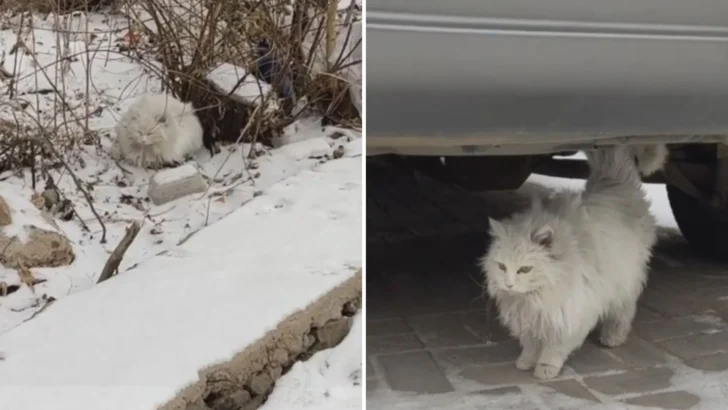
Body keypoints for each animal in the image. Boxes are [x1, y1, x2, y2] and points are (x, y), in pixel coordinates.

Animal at [480, 145, 668, 382]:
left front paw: (545, 368)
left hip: (624, 283)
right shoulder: (532, 318)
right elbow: (531, 344)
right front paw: (526, 361)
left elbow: (554, 347)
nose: (509, 284)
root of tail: (613, 181)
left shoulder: (570, 312)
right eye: (502, 267)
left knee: (623, 313)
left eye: (524, 269)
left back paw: (613, 337)